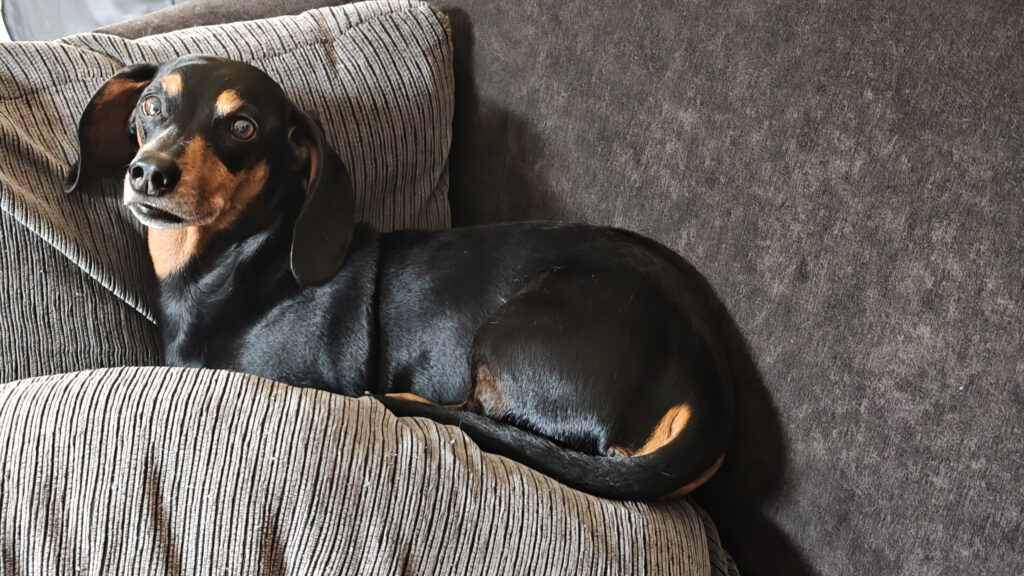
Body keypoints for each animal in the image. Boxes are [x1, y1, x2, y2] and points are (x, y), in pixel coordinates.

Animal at [64, 56, 733, 500]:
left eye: (243, 126)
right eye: (152, 105)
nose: (149, 174)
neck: (234, 264)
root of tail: (709, 380)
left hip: (513, 330)